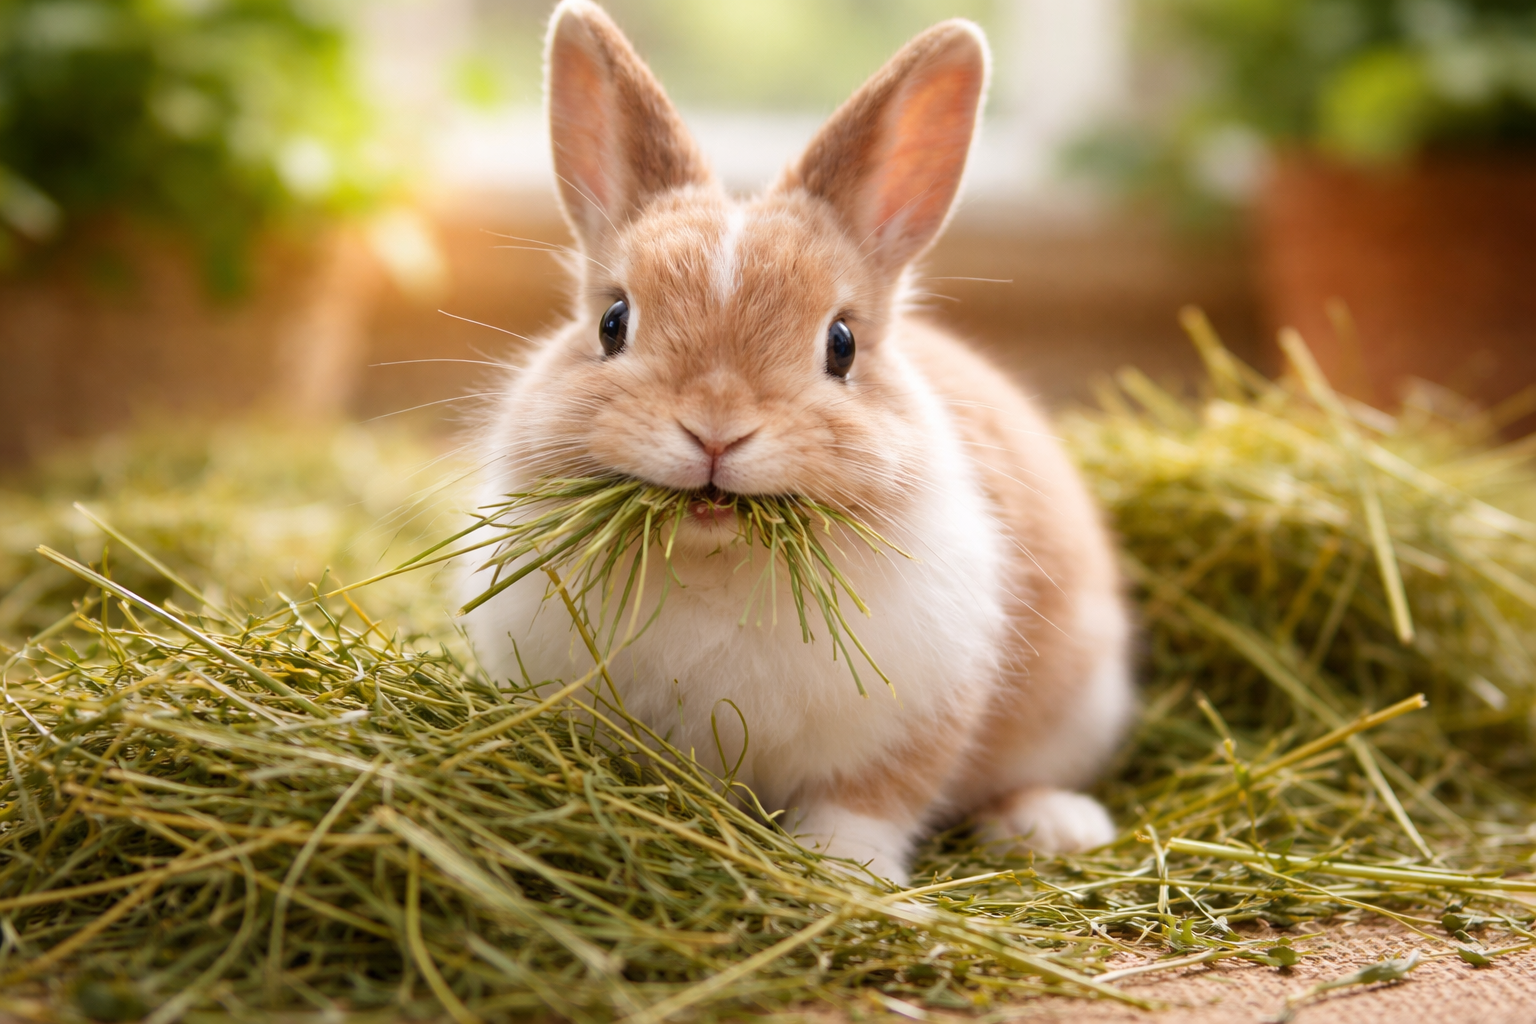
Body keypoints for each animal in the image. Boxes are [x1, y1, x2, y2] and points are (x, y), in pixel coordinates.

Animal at [462, 0, 1135, 883]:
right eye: (612, 322)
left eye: (841, 345)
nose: (715, 428)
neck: (717, 559)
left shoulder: (914, 720)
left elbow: (868, 806)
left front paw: (848, 878)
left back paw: (1056, 826)